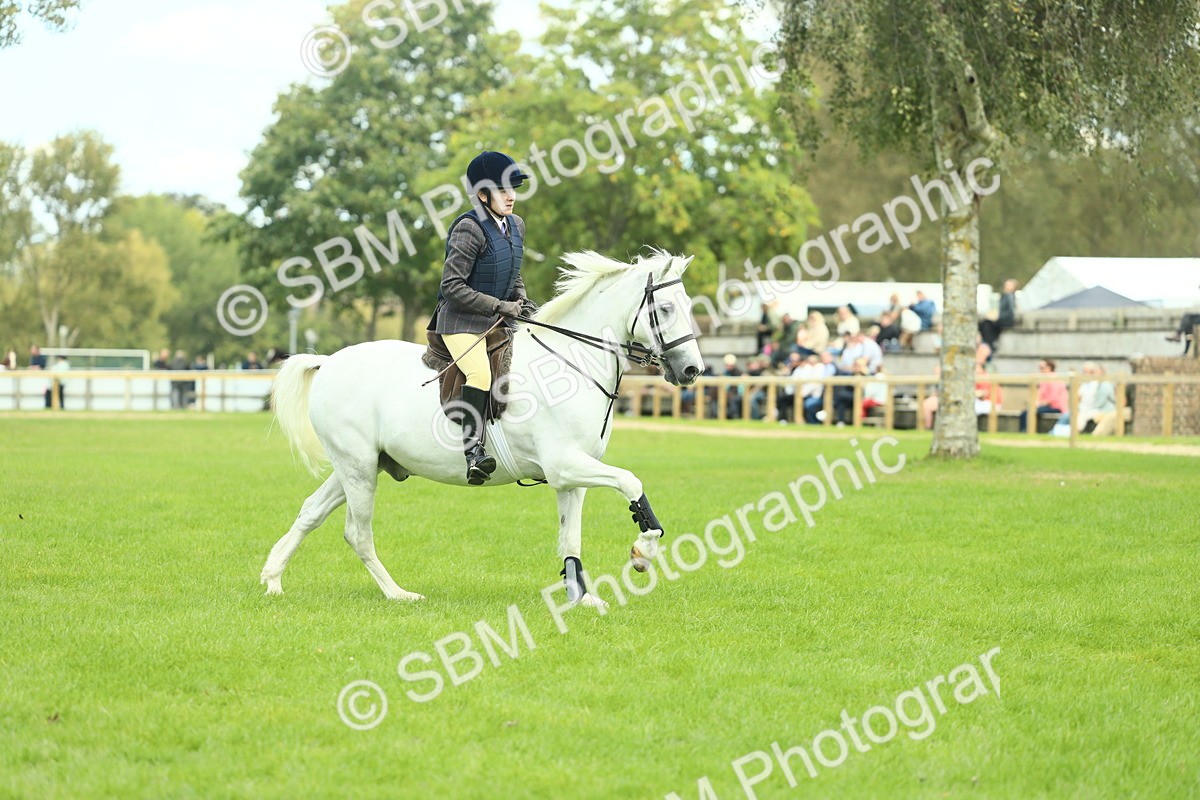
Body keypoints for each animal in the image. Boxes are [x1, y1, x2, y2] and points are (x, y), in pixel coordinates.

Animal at [261, 249, 705, 608]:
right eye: (666, 308)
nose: (691, 370)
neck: (571, 361)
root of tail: (328, 362)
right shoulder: (565, 464)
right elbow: (631, 482)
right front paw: (643, 552)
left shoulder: (572, 477)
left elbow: (570, 538)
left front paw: (580, 597)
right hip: (358, 468)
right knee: (357, 532)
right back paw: (398, 594)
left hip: (361, 465)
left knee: (311, 511)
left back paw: (272, 579)